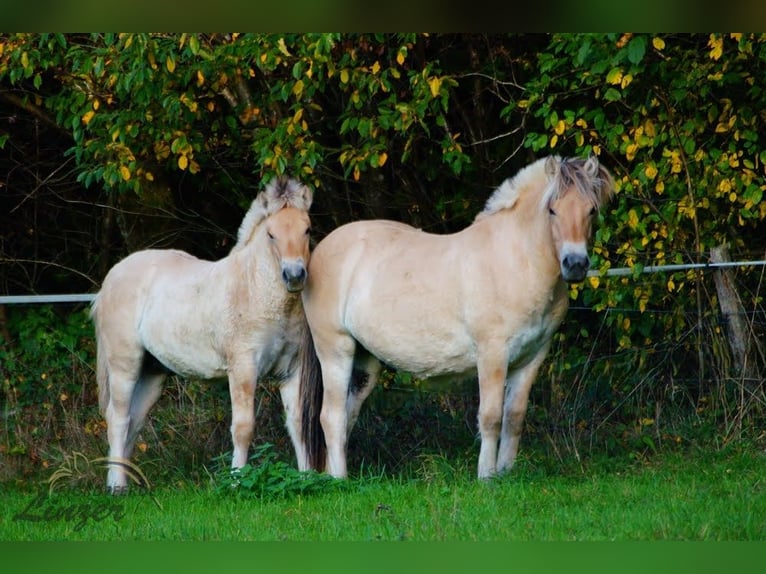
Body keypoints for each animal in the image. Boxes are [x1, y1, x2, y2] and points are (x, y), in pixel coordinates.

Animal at [91, 176, 313, 492]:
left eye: (307, 229)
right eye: (271, 234)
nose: (294, 275)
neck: (253, 288)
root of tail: (110, 280)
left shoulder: (290, 370)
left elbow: (298, 424)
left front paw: (308, 478)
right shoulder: (243, 369)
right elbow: (243, 427)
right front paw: (236, 480)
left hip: (152, 372)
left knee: (134, 420)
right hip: (125, 365)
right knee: (118, 418)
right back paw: (118, 487)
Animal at [299, 155, 614, 479]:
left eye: (591, 209)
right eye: (552, 209)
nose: (575, 264)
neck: (514, 261)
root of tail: (316, 253)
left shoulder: (532, 358)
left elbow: (514, 417)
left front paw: (506, 473)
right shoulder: (493, 354)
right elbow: (490, 416)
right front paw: (486, 476)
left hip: (365, 363)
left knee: (347, 414)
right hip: (336, 350)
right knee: (331, 416)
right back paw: (340, 479)